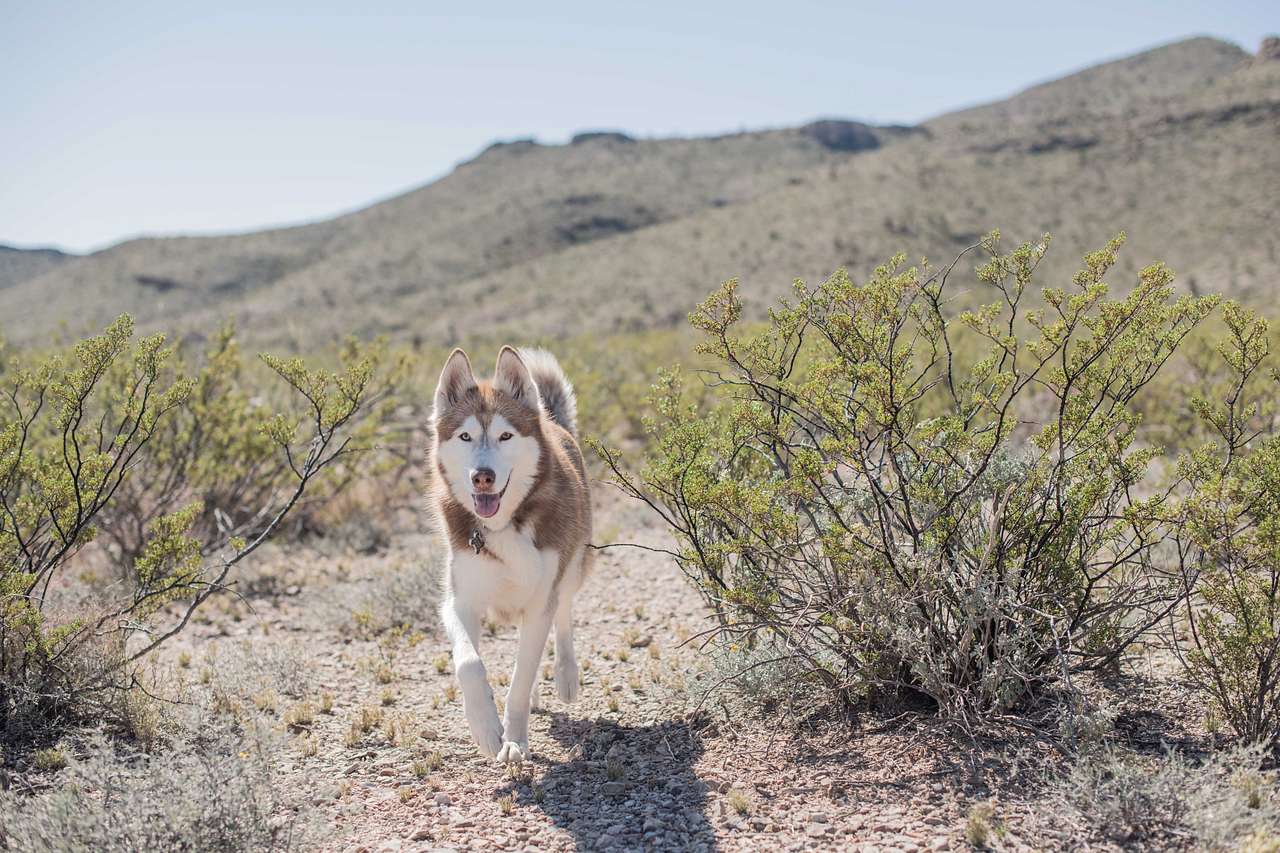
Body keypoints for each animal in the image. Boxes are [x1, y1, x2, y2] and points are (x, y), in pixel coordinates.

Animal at [428, 346, 591, 764]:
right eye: (465, 436)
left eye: (505, 435)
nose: (482, 476)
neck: (503, 526)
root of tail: (554, 423)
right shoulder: (459, 601)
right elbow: (469, 663)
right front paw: (485, 728)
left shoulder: (541, 600)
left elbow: (520, 678)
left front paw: (514, 739)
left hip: (574, 567)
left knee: (563, 616)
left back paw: (566, 674)